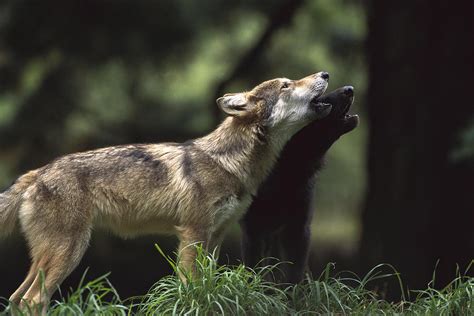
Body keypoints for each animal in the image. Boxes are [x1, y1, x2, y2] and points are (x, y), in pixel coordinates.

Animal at [0, 71, 334, 308]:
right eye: (286, 85)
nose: (325, 73)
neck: (230, 163)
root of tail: (37, 172)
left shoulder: (216, 234)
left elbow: (207, 281)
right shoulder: (192, 233)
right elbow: (191, 285)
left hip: (50, 257)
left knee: (18, 298)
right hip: (69, 251)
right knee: (32, 299)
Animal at [239, 85, 358, 282]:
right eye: (318, 99)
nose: (350, 89)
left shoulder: (298, 226)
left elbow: (293, 272)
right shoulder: (253, 229)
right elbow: (254, 268)